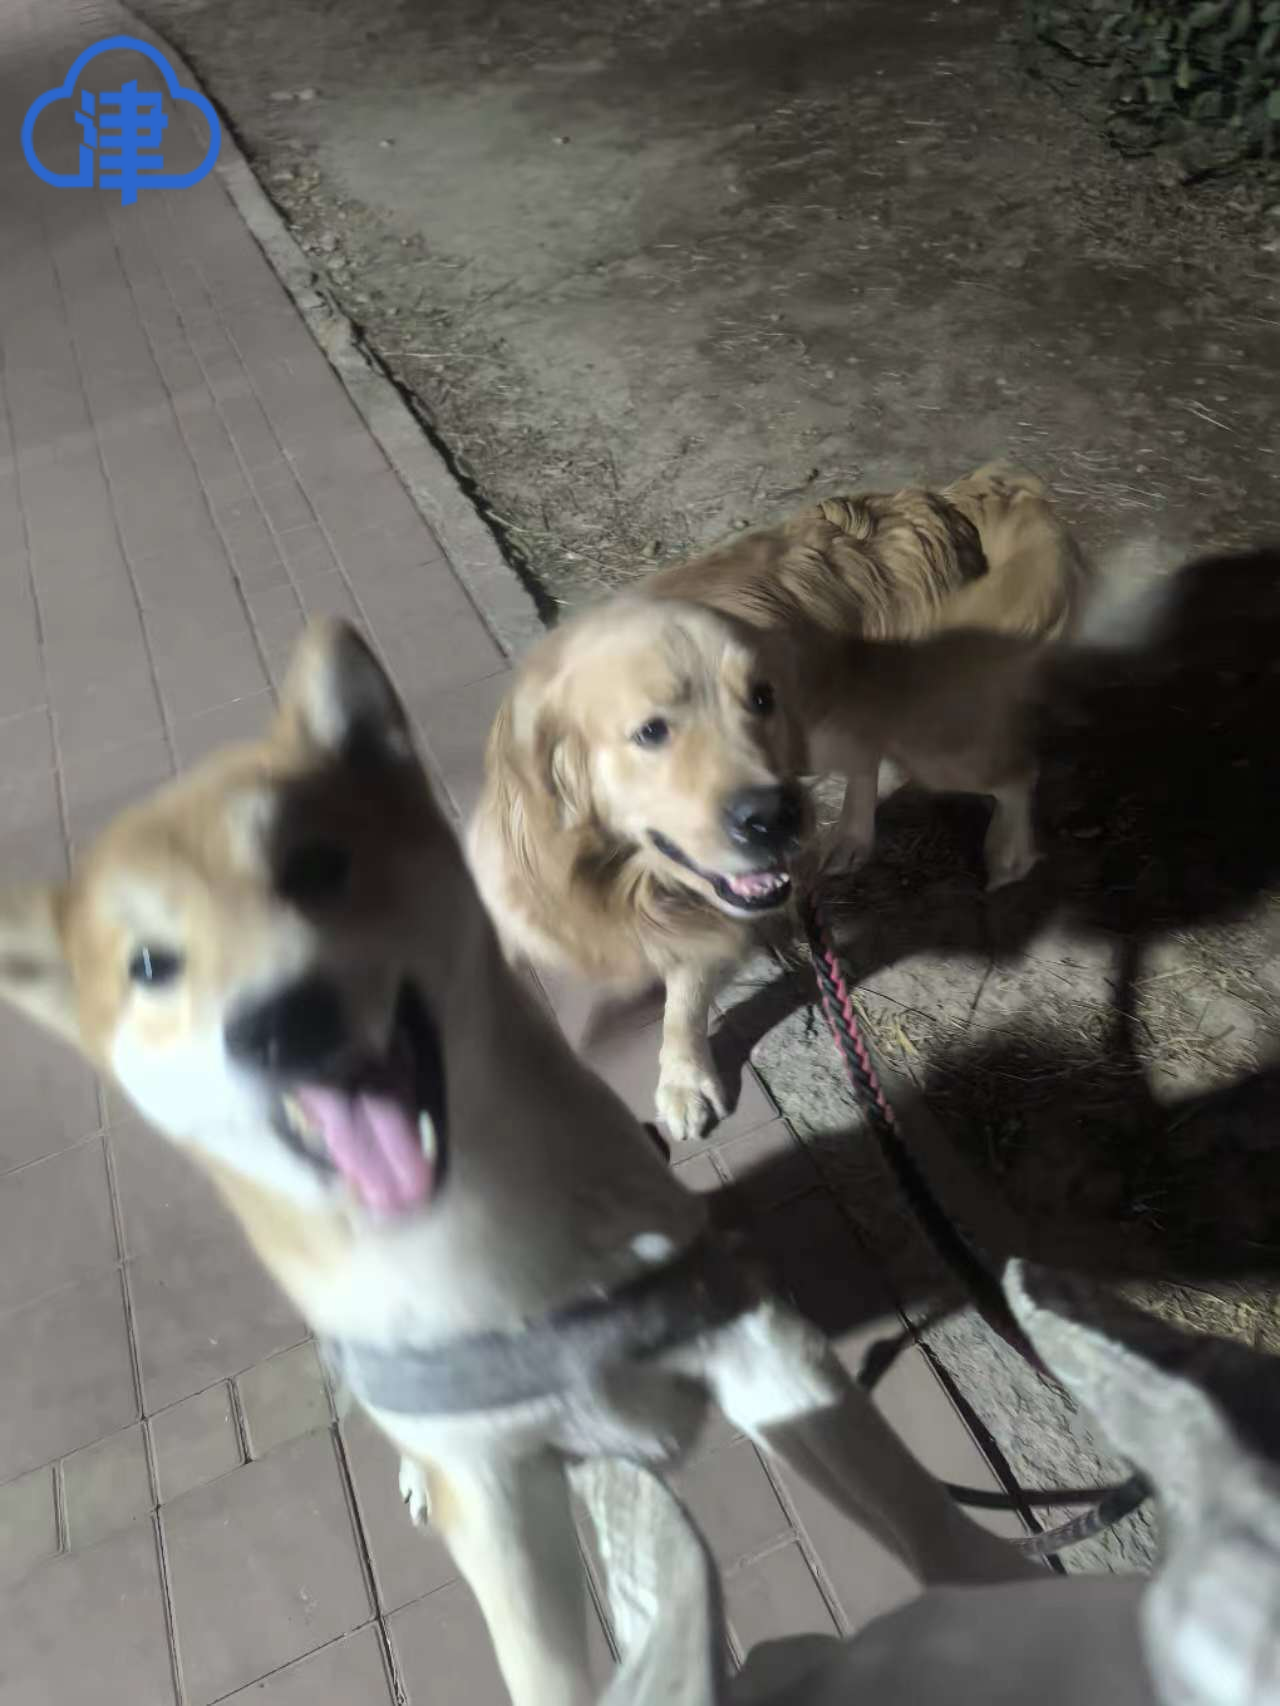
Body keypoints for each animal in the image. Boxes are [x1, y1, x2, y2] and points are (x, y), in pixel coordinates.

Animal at [0, 621, 1035, 1706]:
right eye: (148, 965)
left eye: (315, 865)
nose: (279, 1020)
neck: (487, 1248)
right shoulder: (499, 1508)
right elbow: (537, 1660)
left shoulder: (765, 1352)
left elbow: (932, 1525)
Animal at [469, 465, 1087, 1140]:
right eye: (652, 730)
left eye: (761, 698)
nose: (776, 817)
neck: (609, 872)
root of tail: (951, 497)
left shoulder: (710, 913)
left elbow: (684, 999)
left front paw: (684, 1079)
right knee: (868, 756)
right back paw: (849, 840)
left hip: (929, 737)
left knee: (1017, 770)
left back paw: (1007, 851)